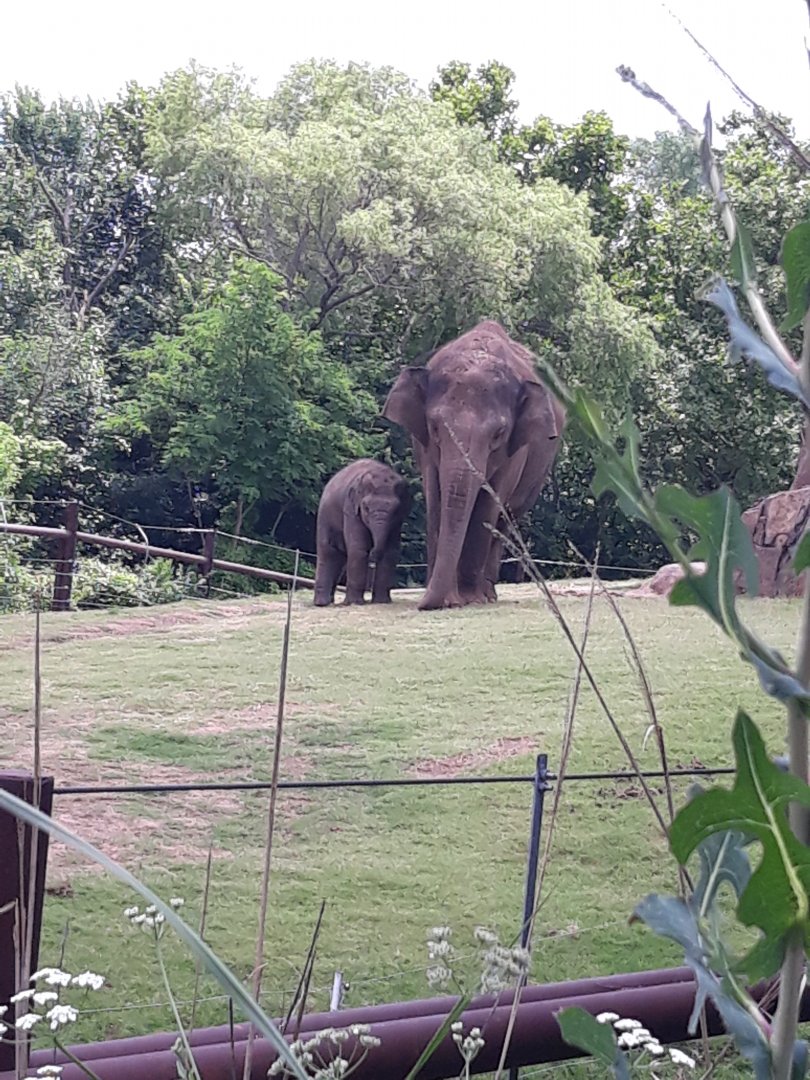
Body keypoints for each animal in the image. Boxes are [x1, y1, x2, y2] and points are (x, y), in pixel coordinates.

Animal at [313, 459, 411, 607]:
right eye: (366, 508)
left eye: (395, 509)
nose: (373, 555)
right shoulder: (350, 509)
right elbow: (358, 549)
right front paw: (354, 603)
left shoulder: (397, 521)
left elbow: (391, 552)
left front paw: (381, 602)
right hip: (324, 516)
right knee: (328, 552)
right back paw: (321, 603)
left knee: (339, 558)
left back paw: (329, 601)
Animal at [382, 320, 565, 610]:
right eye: (434, 426)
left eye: (499, 434)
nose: (424, 604)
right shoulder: (425, 447)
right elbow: (436, 498)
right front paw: (447, 598)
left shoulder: (515, 452)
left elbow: (488, 503)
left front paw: (469, 599)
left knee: (505, 518)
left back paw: (488, 594)